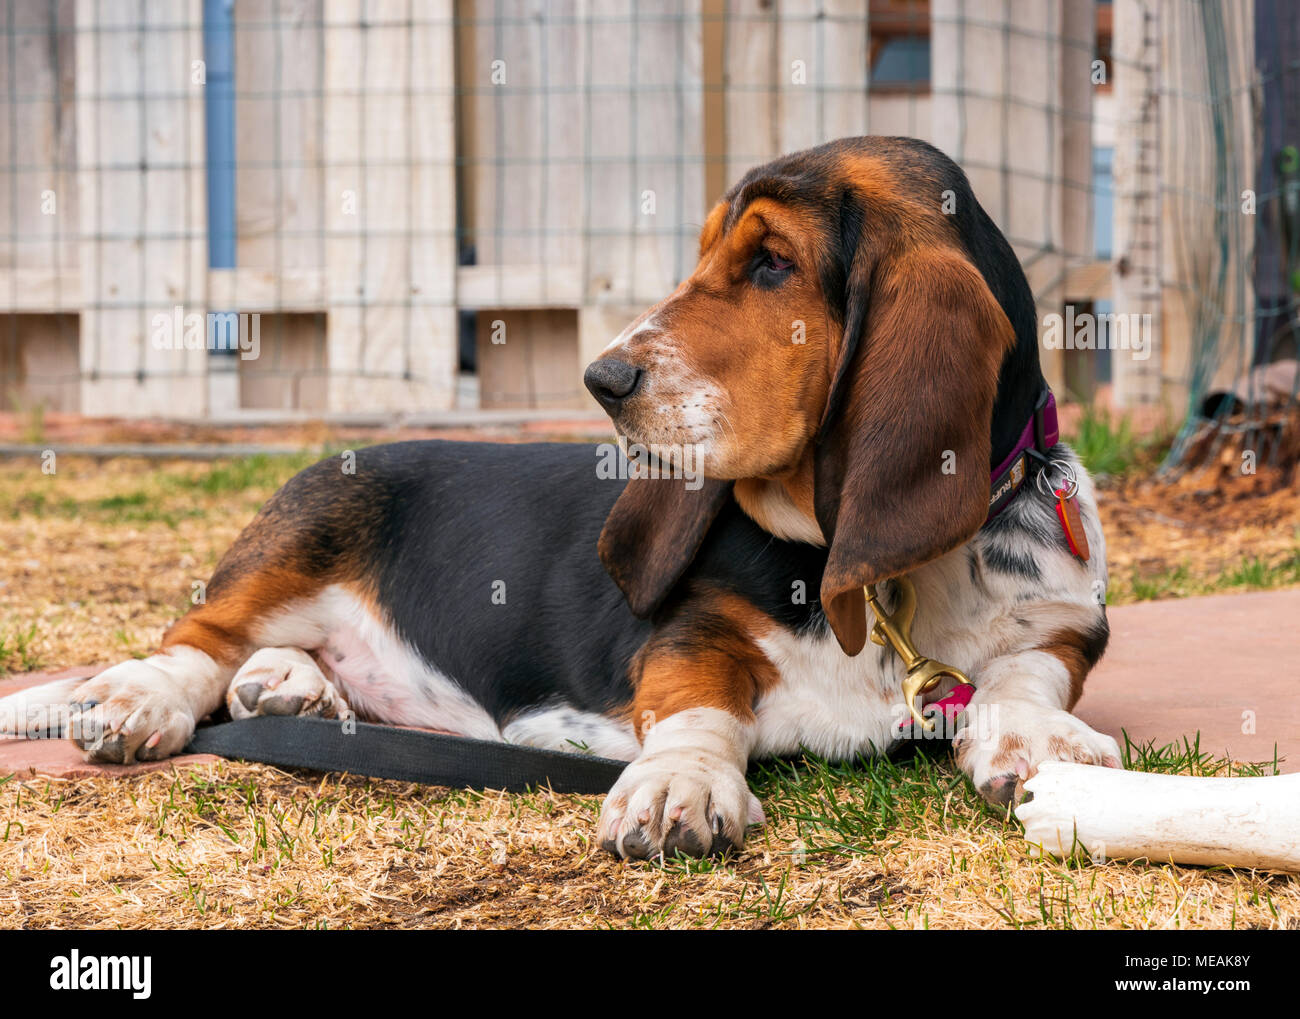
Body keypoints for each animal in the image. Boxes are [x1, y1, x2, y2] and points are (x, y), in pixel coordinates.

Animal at [0, 137, 1118, 857]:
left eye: (771, 263)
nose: (602, 378)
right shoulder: (686, 634)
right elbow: (698, 707)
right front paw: (680, 783)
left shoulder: (1068, 627)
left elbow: (1024, 674)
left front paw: (1036, 742)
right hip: (304, 529)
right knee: (198, 636)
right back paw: (147, 698)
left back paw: (293, 688)